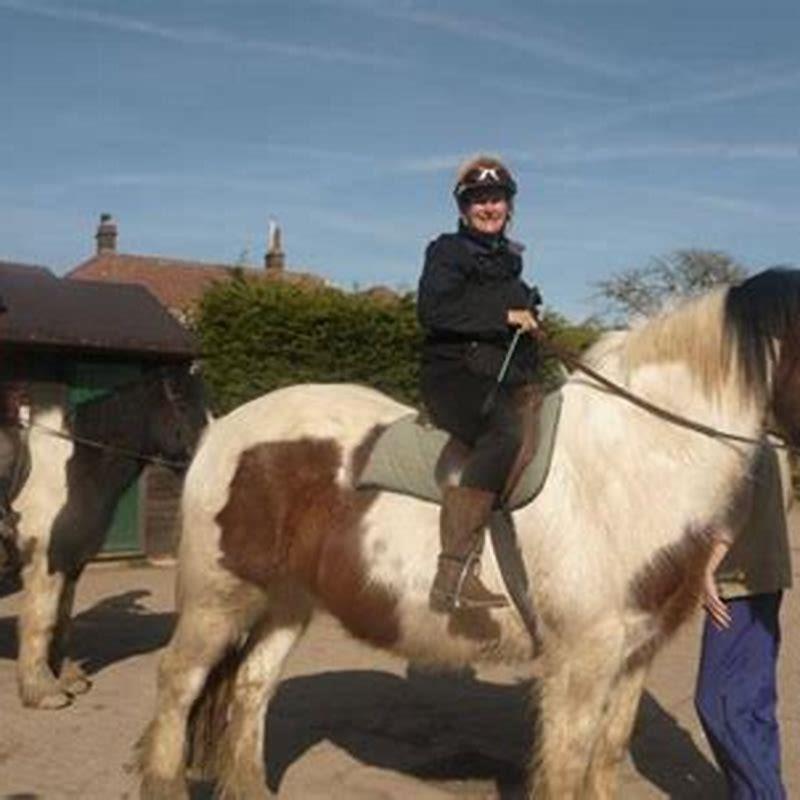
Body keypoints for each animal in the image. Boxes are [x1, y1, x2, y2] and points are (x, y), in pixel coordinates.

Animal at [13, 363, 208, 710]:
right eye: (183, 404)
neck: (76, 470)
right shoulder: (48, 560)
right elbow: (42, 619)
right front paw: (44, 691)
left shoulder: (72, 563)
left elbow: (62, 618)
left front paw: (65, 676)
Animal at [139, 268, 800, 799]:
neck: (629, 460)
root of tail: (223, 429)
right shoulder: (582, 660)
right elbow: (567, 768)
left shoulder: (635, 653)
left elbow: (606, 758)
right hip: (217, 598)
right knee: (178, 686)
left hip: (287, 601)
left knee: (251, 688)